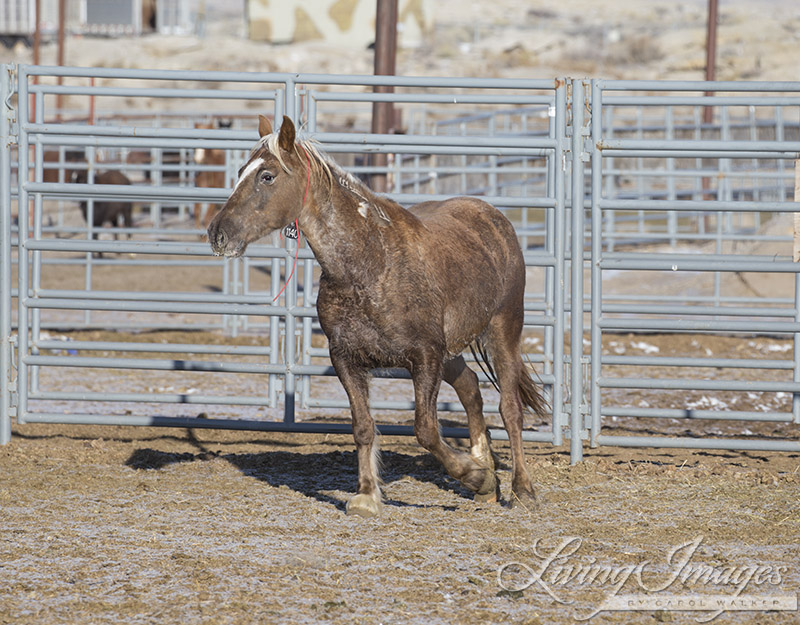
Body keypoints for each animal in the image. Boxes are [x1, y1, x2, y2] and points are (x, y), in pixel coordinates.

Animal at [206, 116, 548, 516]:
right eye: (240, 172)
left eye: (267, 176)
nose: (217, 234)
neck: (370, 263)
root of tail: (494, 218)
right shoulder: (347, 359)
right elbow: (363, 426)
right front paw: (368, 495)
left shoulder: (425, 357)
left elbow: (425, 429)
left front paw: (473, 475)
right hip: (451, 350)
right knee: (470, 387)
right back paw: (486, 476)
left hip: (502, 330)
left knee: (510, 408)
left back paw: (521, 489)